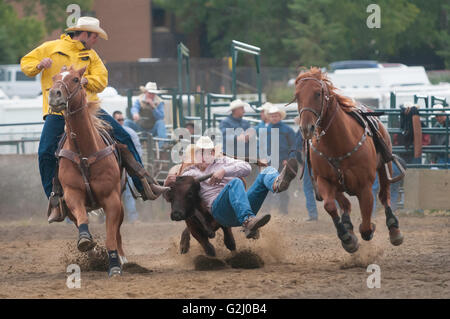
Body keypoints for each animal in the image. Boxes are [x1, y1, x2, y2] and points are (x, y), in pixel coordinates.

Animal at [48, 66, 125, 276]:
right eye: (54, 78)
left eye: (76, 79)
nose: (54, 94)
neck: (84, 153)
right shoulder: (72, 194)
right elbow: (83, 220)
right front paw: (85, 241)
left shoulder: (111, 199)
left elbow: (111, 235)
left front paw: (114, 265)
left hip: (120, 202)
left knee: (117, 231)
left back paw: (122, 258)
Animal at [296, 68, 404, 255]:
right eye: (297, 96)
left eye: (317, 94)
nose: (306, 128)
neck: (337, 144)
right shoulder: (323, 180)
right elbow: (330, 206)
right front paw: (347, 238)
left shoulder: (365, 187)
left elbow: (367, 223)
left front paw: (366, 229)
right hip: (337, 185)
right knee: (344, 204)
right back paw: (347, 226)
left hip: (385, 168)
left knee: (384, 196)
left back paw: (394, 229)